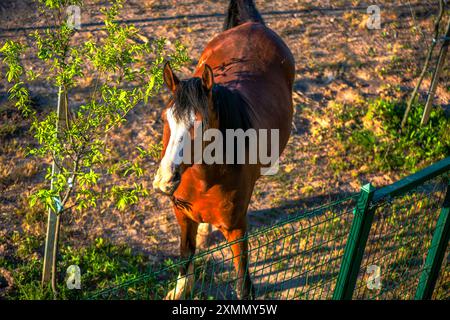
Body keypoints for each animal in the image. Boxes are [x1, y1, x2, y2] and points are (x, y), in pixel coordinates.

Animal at [155, 0, 296, 300]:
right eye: (164, 118)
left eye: (200, 124)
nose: (165, 180)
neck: (204, 181)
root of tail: (251, 25)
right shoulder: (182, 216)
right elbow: (185, 257)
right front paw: (180, 289)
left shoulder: (236, 228)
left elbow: (243, 282)